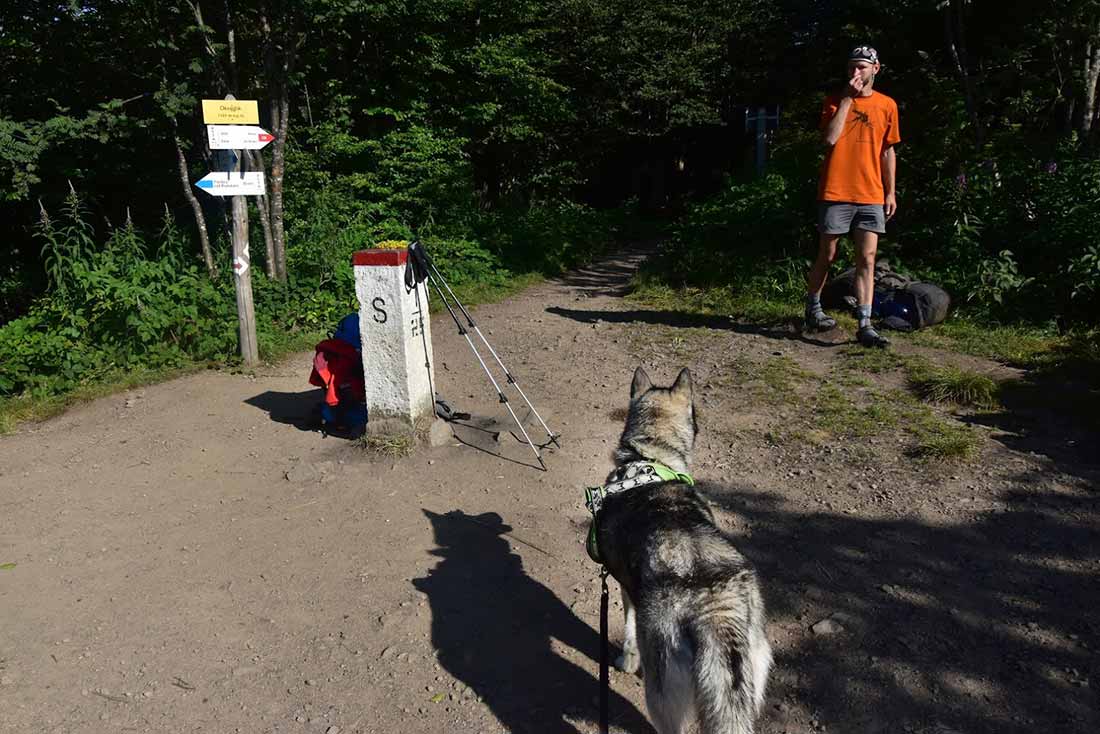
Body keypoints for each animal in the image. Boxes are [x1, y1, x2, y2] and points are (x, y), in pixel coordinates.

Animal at [594, 367, 774, 734]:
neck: (650, 458)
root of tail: (714, 608)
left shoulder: (624, 590)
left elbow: (629, 631)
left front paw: (626, 660)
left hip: (661, 696)